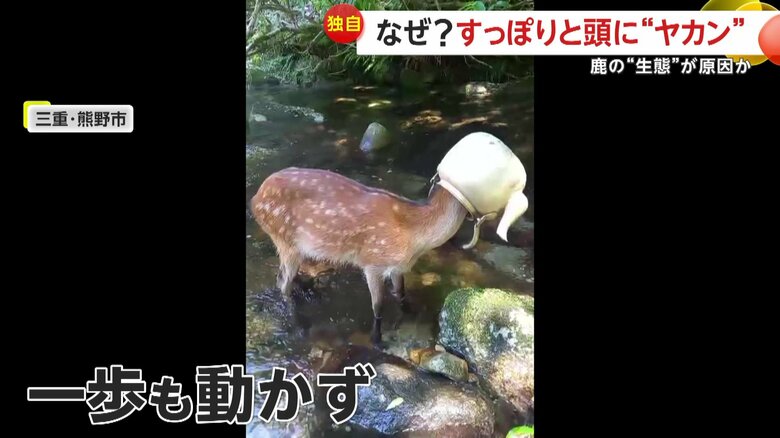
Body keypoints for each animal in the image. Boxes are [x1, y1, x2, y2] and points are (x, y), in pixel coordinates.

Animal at [250, 132, 528, 345]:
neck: (414, 235)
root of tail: (255, 199)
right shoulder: (372, 261)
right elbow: (378, 306)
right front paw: (377, 340)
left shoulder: (398, 267)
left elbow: (401, 293)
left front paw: (414, 314)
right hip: (285, 238)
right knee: (282, 284)